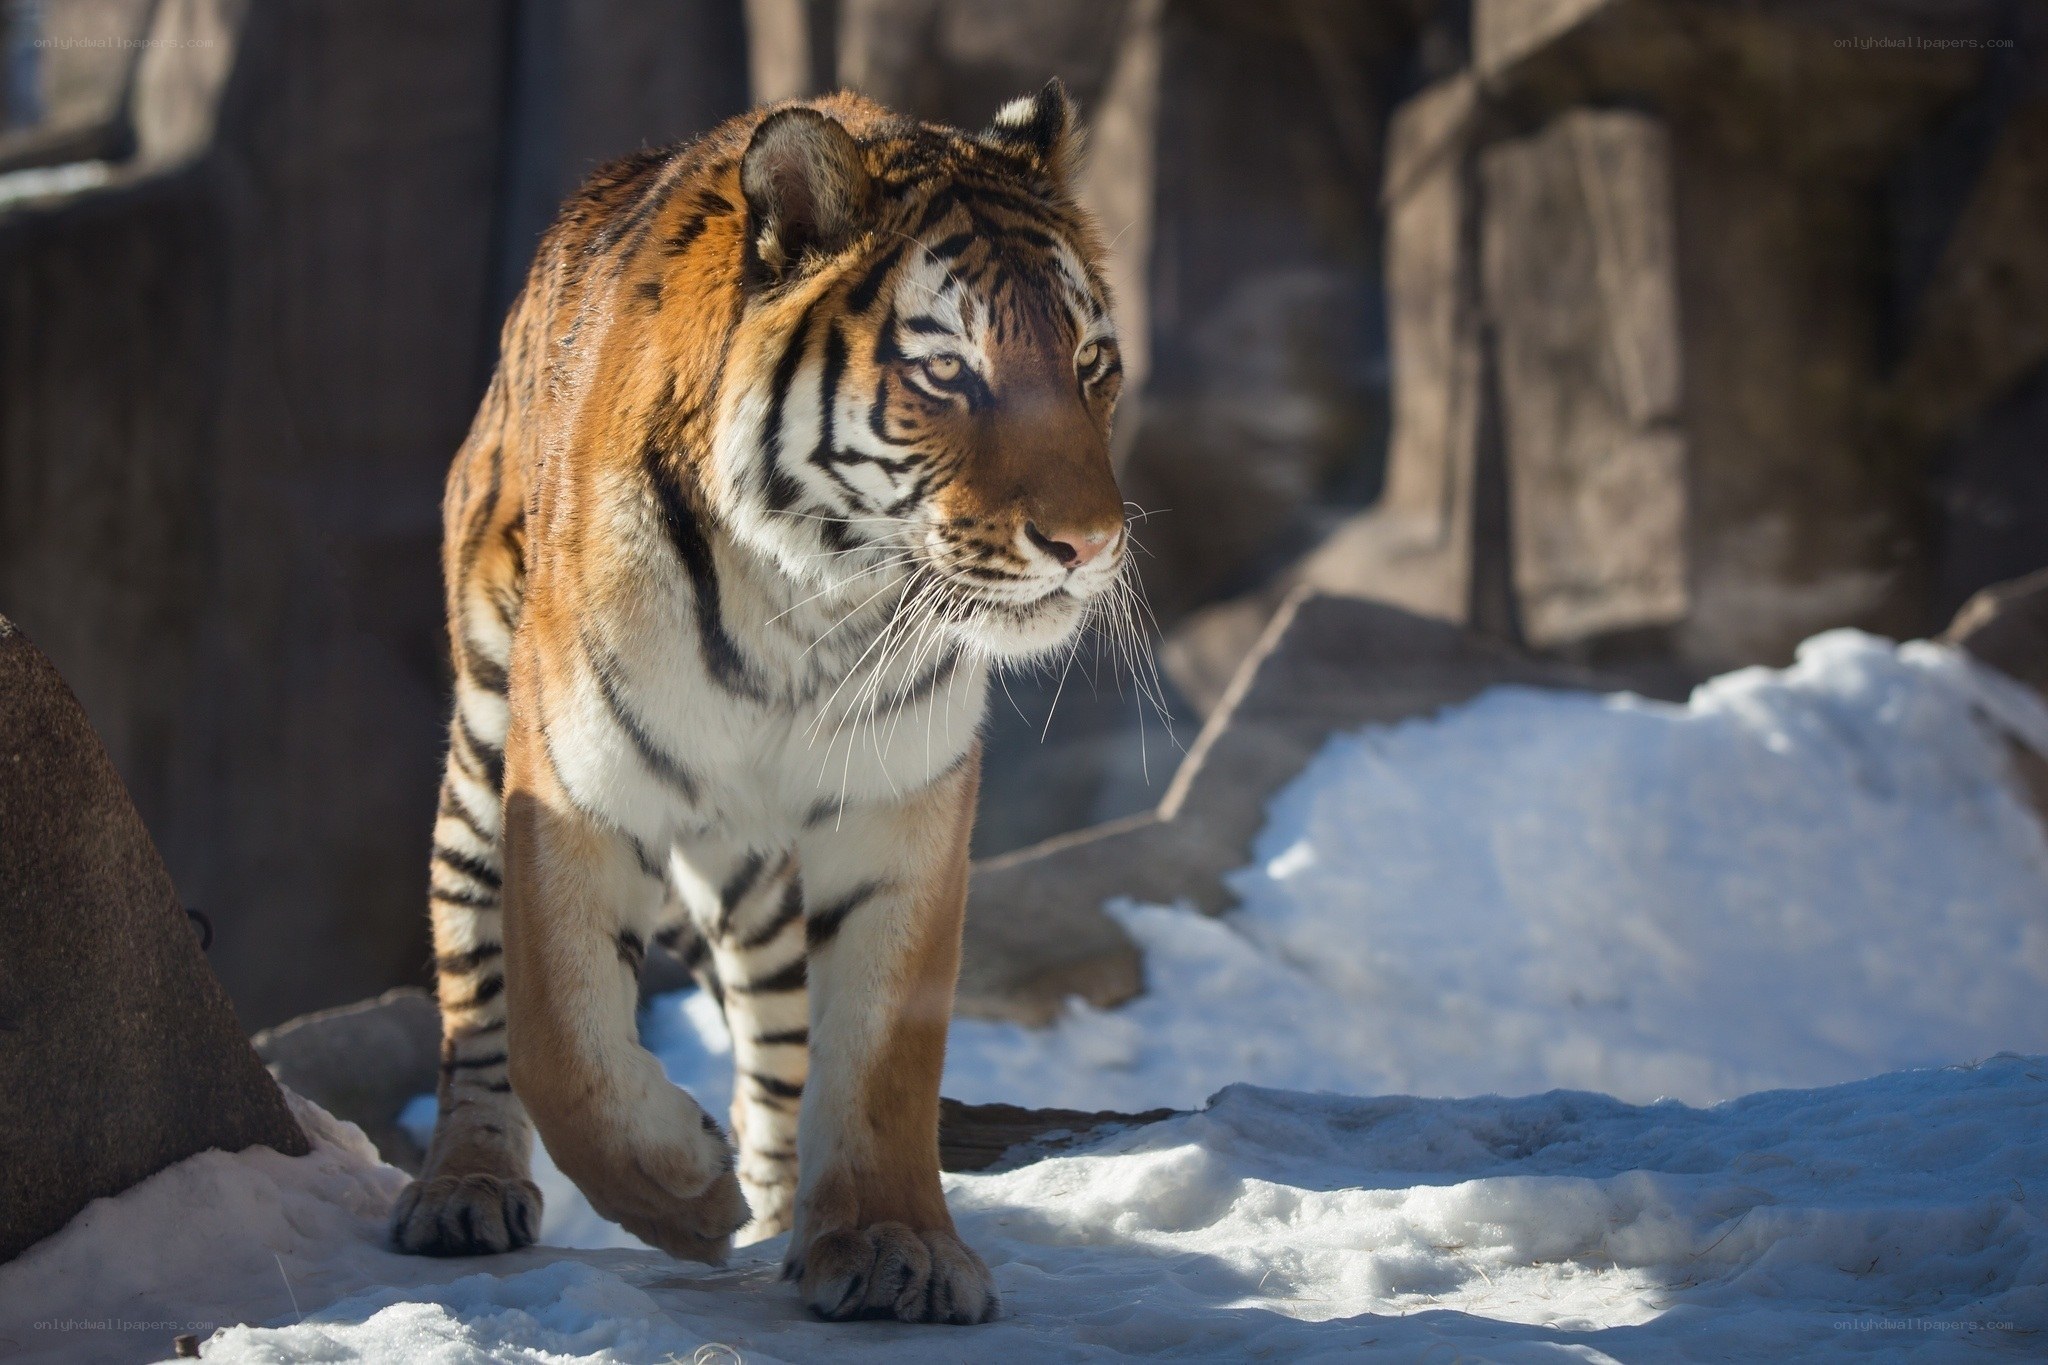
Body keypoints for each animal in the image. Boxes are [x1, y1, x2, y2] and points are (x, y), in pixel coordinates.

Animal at [385, 81, 1128, 1325]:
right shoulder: (573, 787)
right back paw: (466, 1189)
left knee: (778, 1030)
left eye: (1089, 365)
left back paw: (785, 1203)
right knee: (477, 999)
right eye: (947, 375)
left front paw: (886, 1242)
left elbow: (880, 1054)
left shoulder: (900, 808)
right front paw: (684, 1195)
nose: (1087, 544)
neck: (811, 609)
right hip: (483, 745)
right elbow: (561, 1038)